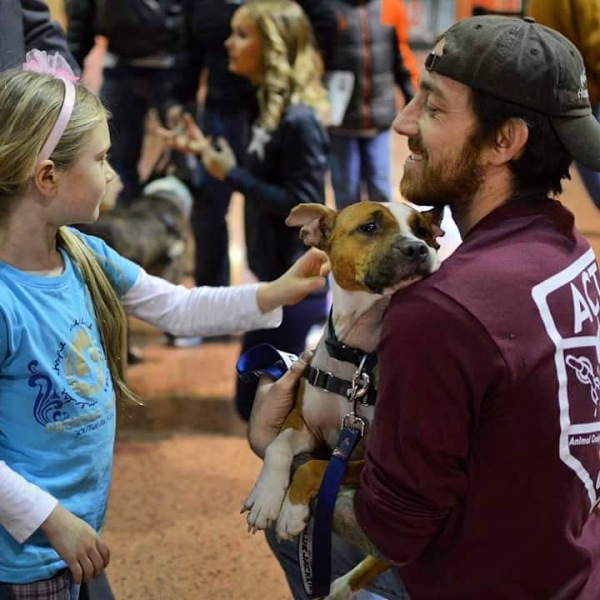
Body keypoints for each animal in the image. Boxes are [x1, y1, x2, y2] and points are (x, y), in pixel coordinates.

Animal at [241, 203, 442, 600]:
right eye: (369, 227)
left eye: (423, 231)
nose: (418, 248)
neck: (358, 358)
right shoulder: (305, 424)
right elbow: (278, 447)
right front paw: (266, 497)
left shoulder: (369, 466)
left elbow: (314, 468)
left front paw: (291, 512)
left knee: (385, 555)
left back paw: (343, 586)